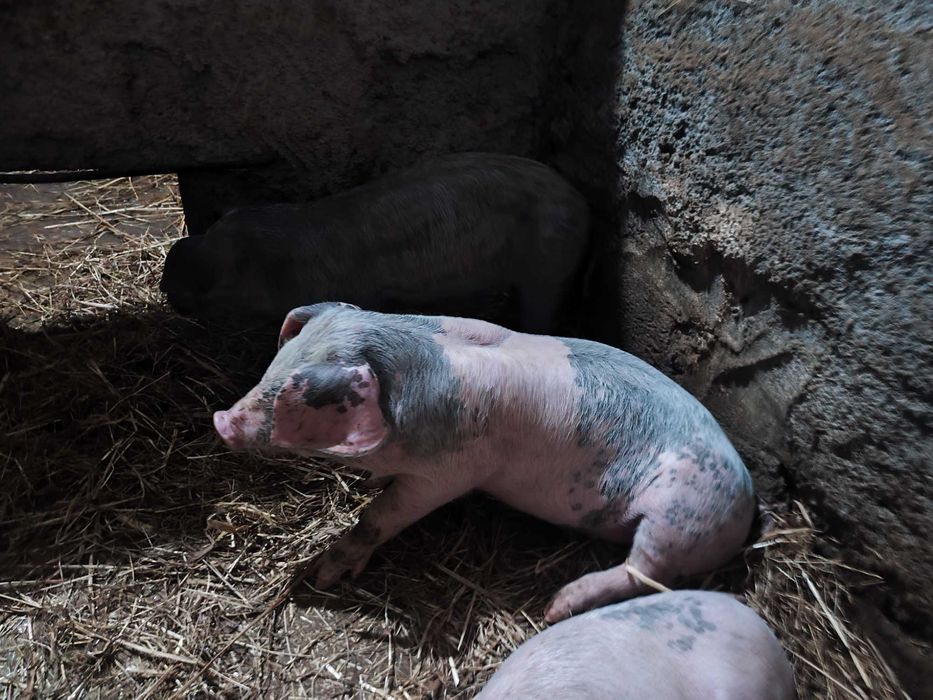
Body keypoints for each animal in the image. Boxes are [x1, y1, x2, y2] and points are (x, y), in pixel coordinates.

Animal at [213, 303, 756, 622]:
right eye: (274, 366)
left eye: (291, 396)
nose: (221, 419)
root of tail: (749, 499)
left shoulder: (448, 472)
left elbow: (379, 518)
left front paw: (323, 576)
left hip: (684, 512)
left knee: (644, 571)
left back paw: (556, 607)